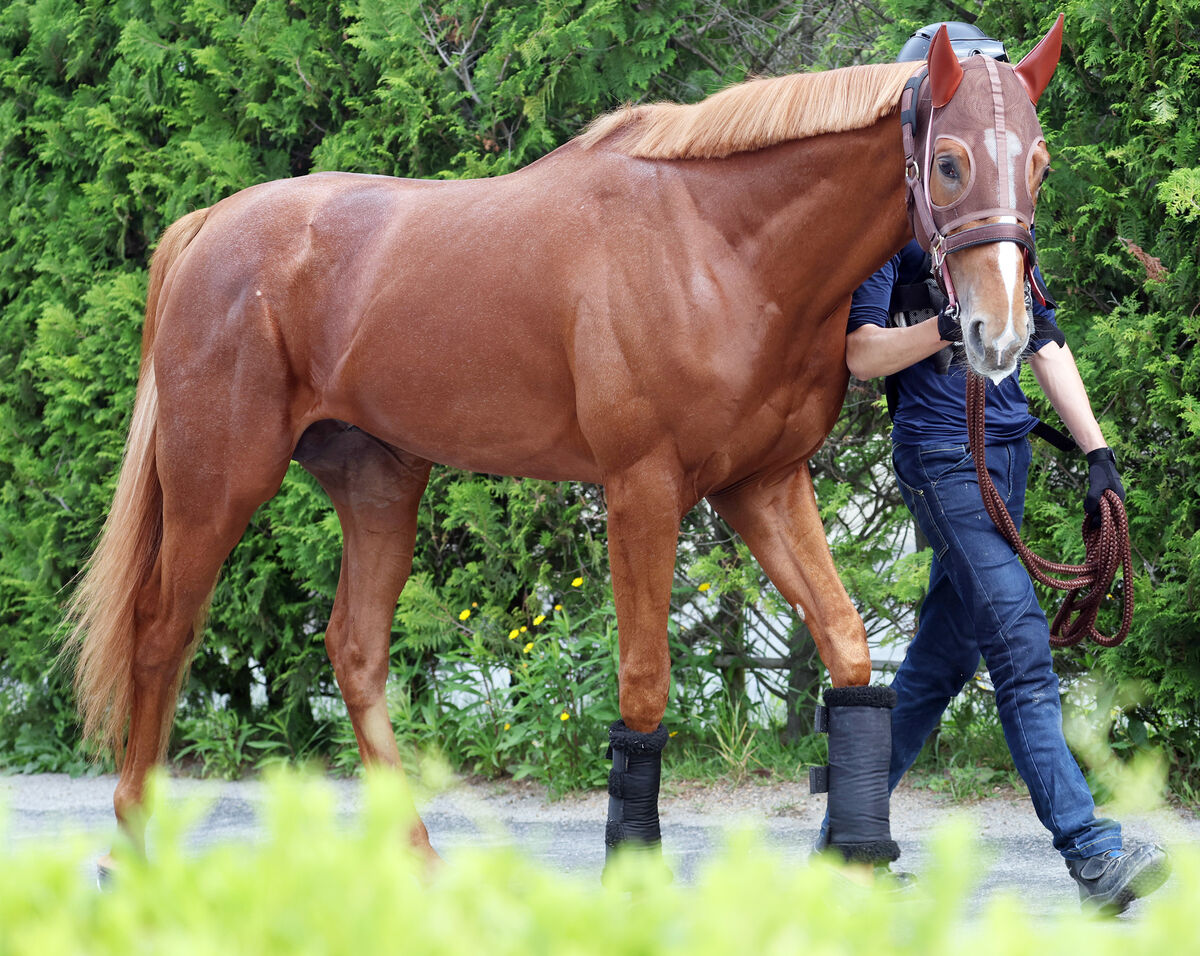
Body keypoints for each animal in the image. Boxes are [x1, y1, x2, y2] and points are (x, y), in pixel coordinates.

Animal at [70, 22, 1060, 863]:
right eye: (948, 163)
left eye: (1041, 163)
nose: (1001, 334)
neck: (719, 248)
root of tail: (207, 227)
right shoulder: (643, 489)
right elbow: (645, 683)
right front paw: (633, 868)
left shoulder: (765, 483)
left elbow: (847, 646)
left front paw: (855, 862)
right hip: (217, 484)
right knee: (162, 635)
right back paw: (134, 847)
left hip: (378, 482)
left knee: (353, 648)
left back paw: (415, 857)